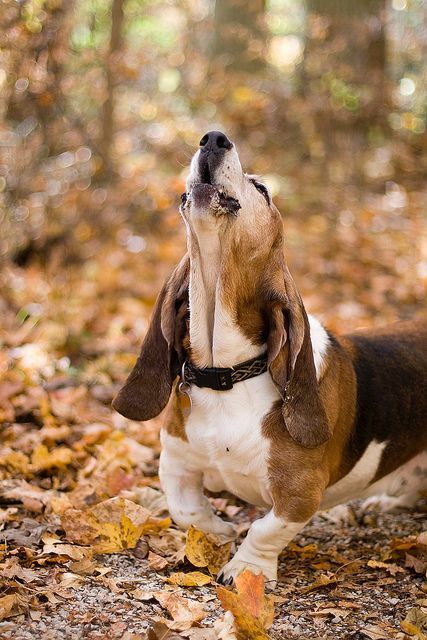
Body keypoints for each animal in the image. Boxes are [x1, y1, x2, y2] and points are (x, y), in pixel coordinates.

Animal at [113, 130, 427, 584]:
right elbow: (185, 509)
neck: (228, 374)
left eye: (261, 189)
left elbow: (265, 528)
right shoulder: (176, 461)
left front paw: (246, 568)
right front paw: (217, 532)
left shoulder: (299, 494)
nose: (214, 137)